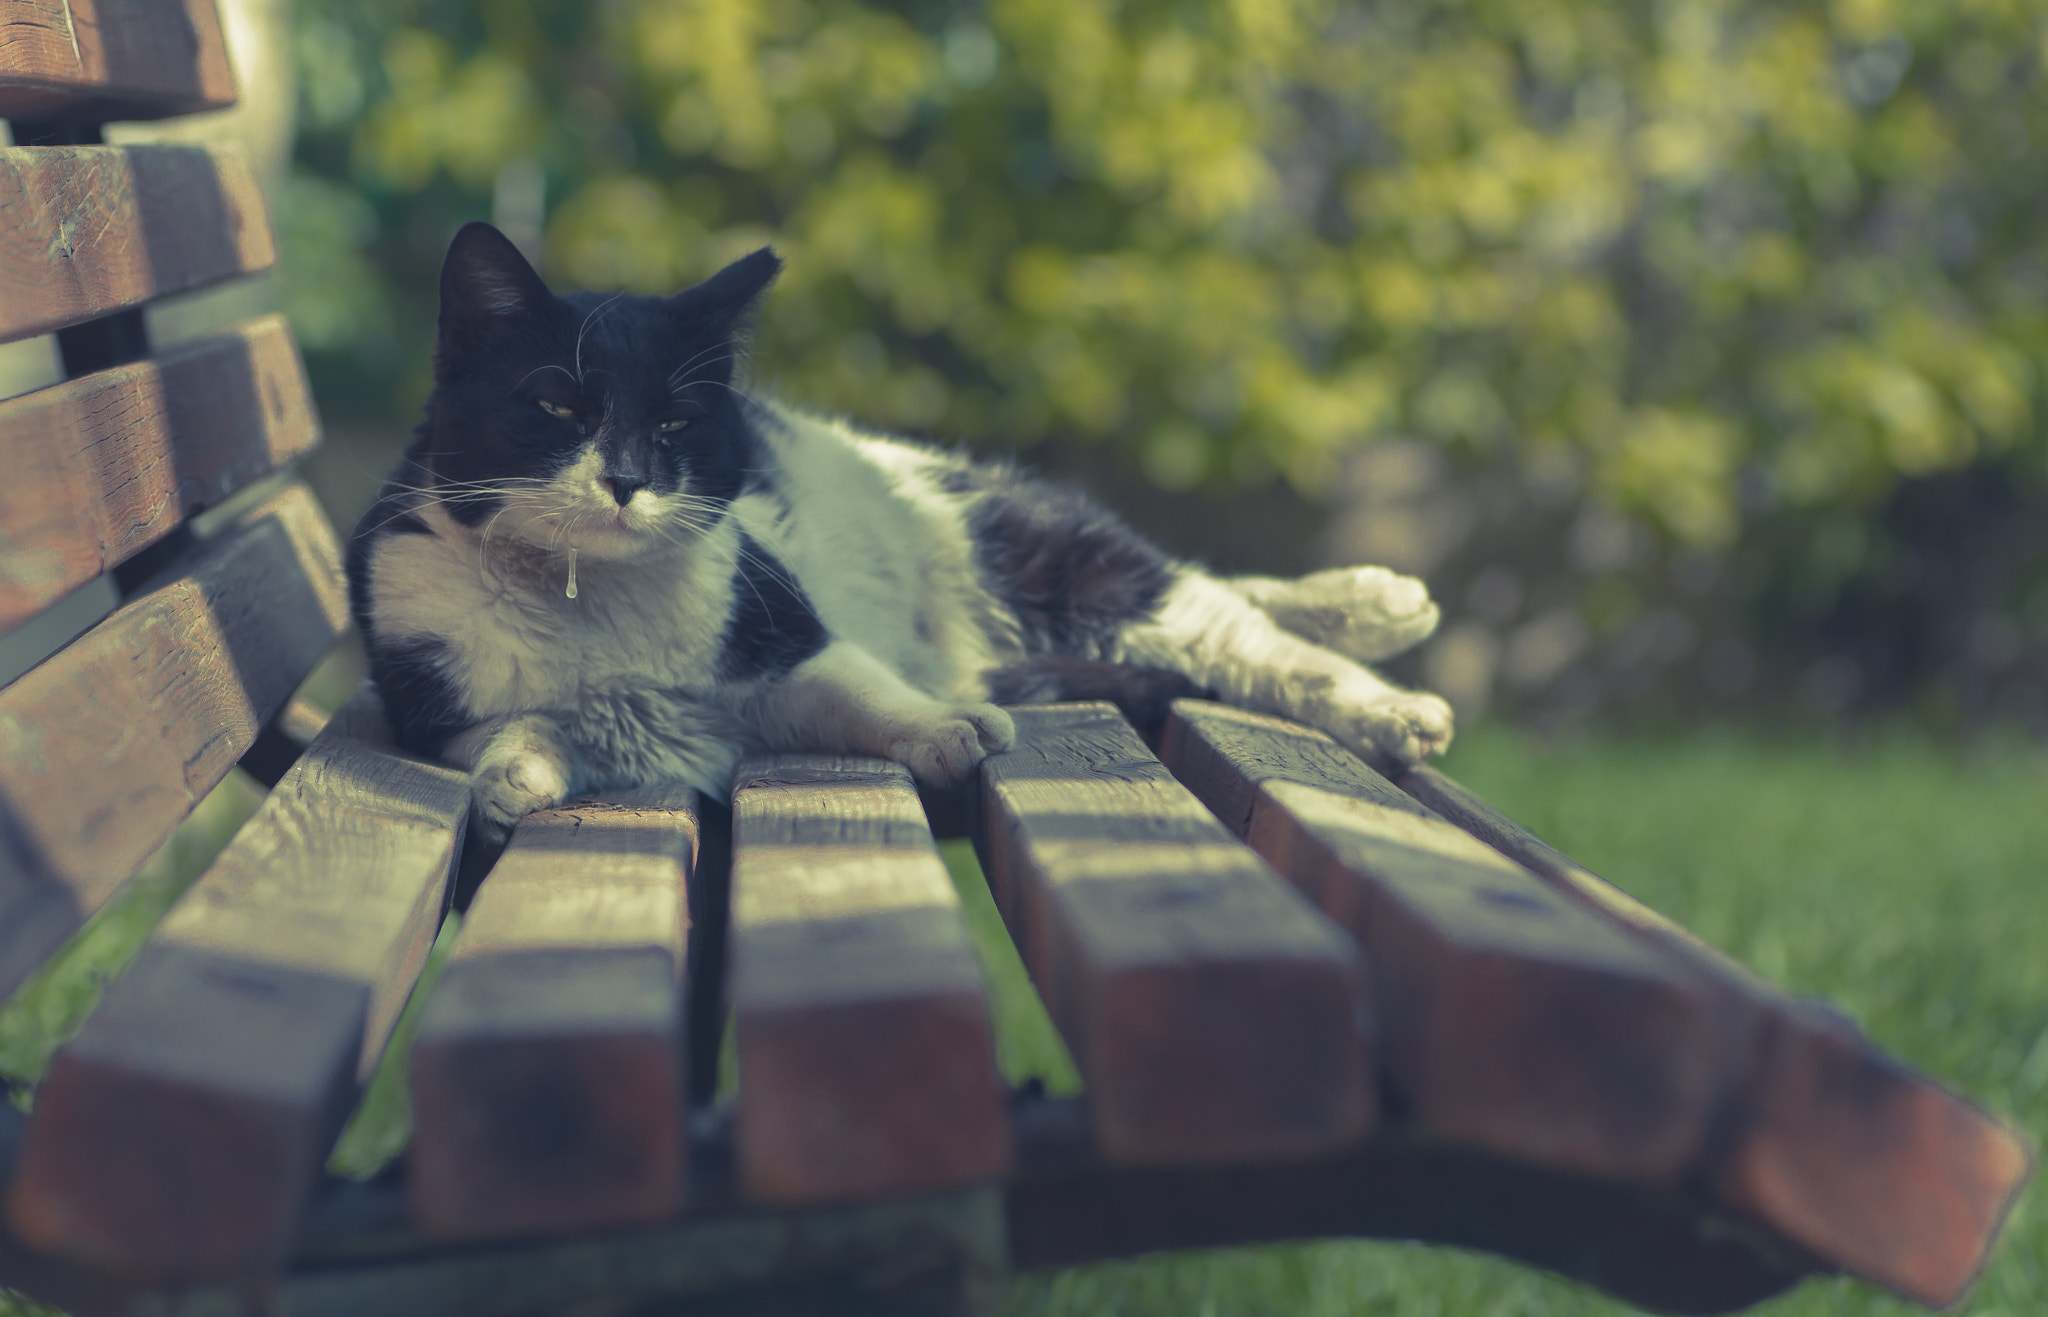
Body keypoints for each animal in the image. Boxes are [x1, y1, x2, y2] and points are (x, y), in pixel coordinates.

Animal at [344, 219, 1458, 835]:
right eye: (558, 408)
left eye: (673, 425)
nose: (625, 481)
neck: (592, 601)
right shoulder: (440, 705)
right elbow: (522, 726)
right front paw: (512, 778)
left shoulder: (784, 637)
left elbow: (861, 688)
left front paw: (948, 729)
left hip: (1046, 554)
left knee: (1223, 611)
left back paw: (1385, 652)